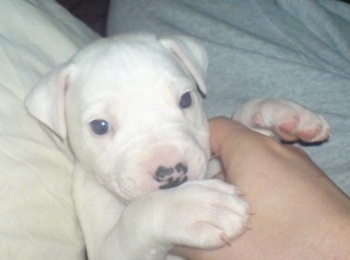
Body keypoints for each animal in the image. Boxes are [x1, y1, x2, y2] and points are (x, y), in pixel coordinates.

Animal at [26, 33, 330, 258]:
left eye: (186, 99)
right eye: (99, 126)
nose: (172, 173)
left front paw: (277, 112)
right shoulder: (104, 245)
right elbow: (135, 217)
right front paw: (194, 206)